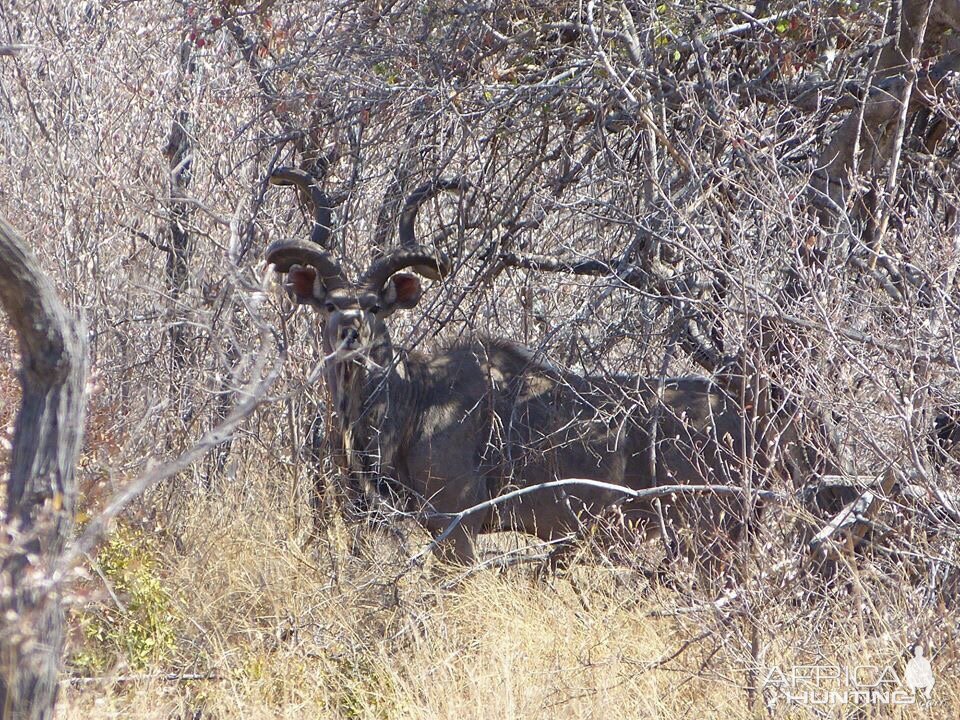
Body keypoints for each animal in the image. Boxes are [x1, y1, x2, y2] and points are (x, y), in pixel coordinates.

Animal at [264, 166, 832, 564]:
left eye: (376, 307)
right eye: (329, 303)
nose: (351, 333)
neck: (417, 399)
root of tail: (758, 413)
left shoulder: (456, 523)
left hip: (707, 529)